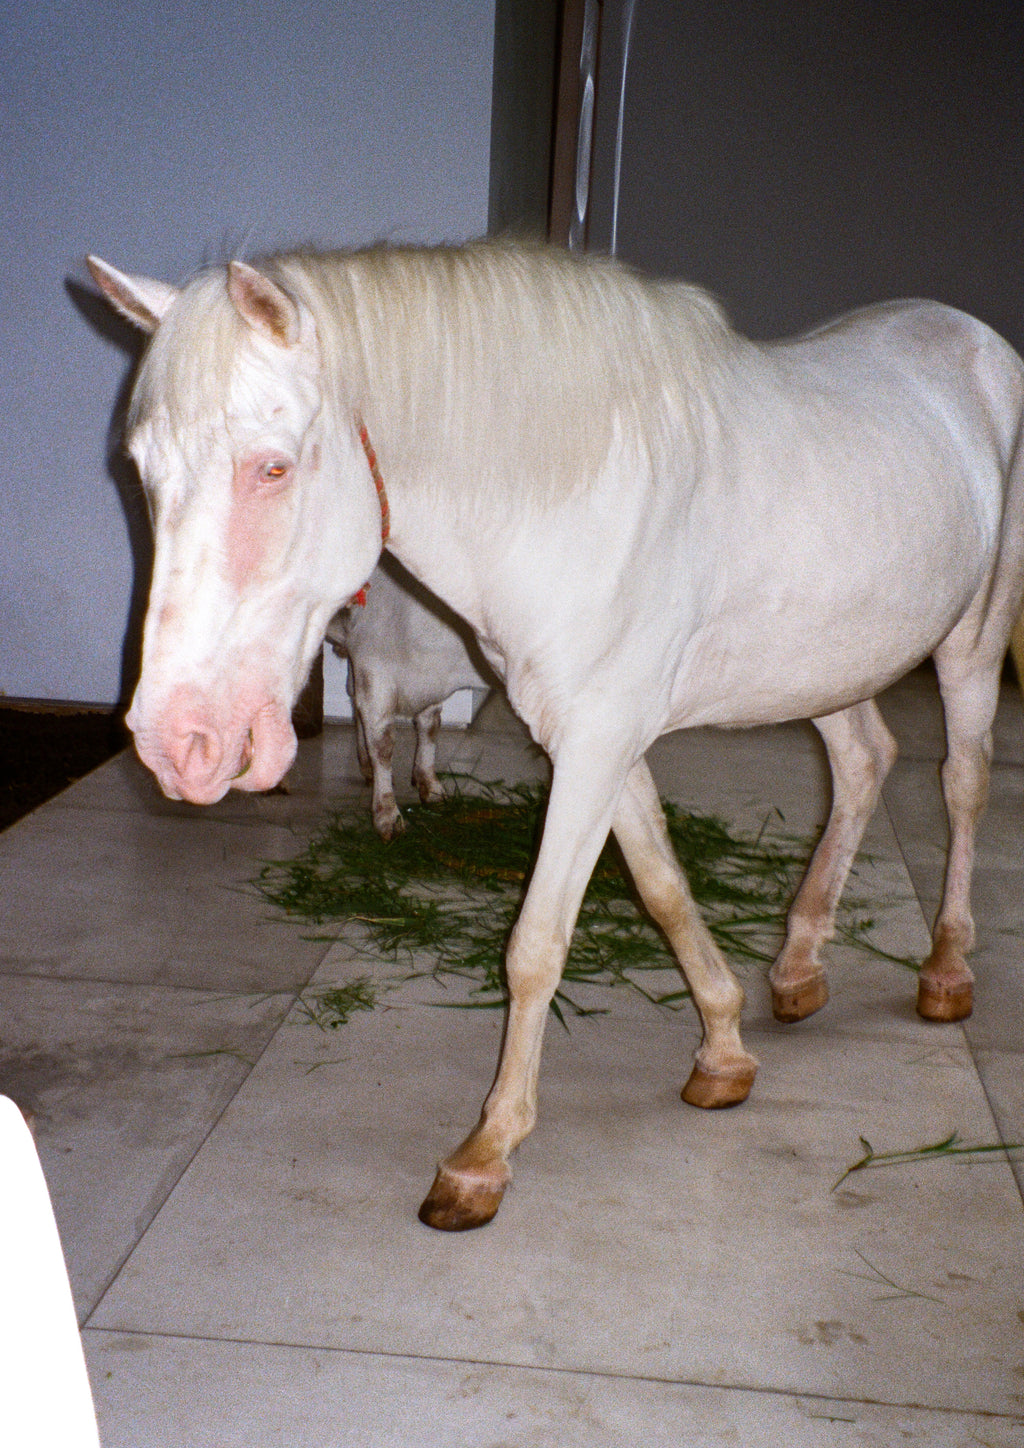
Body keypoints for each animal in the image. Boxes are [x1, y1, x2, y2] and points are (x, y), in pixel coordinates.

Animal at [324, 554, 491, 839]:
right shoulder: (375, 671)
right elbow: (383, 745)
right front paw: (387, 816)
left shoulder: (430, 683)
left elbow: (429, 728)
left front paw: (430, 787)